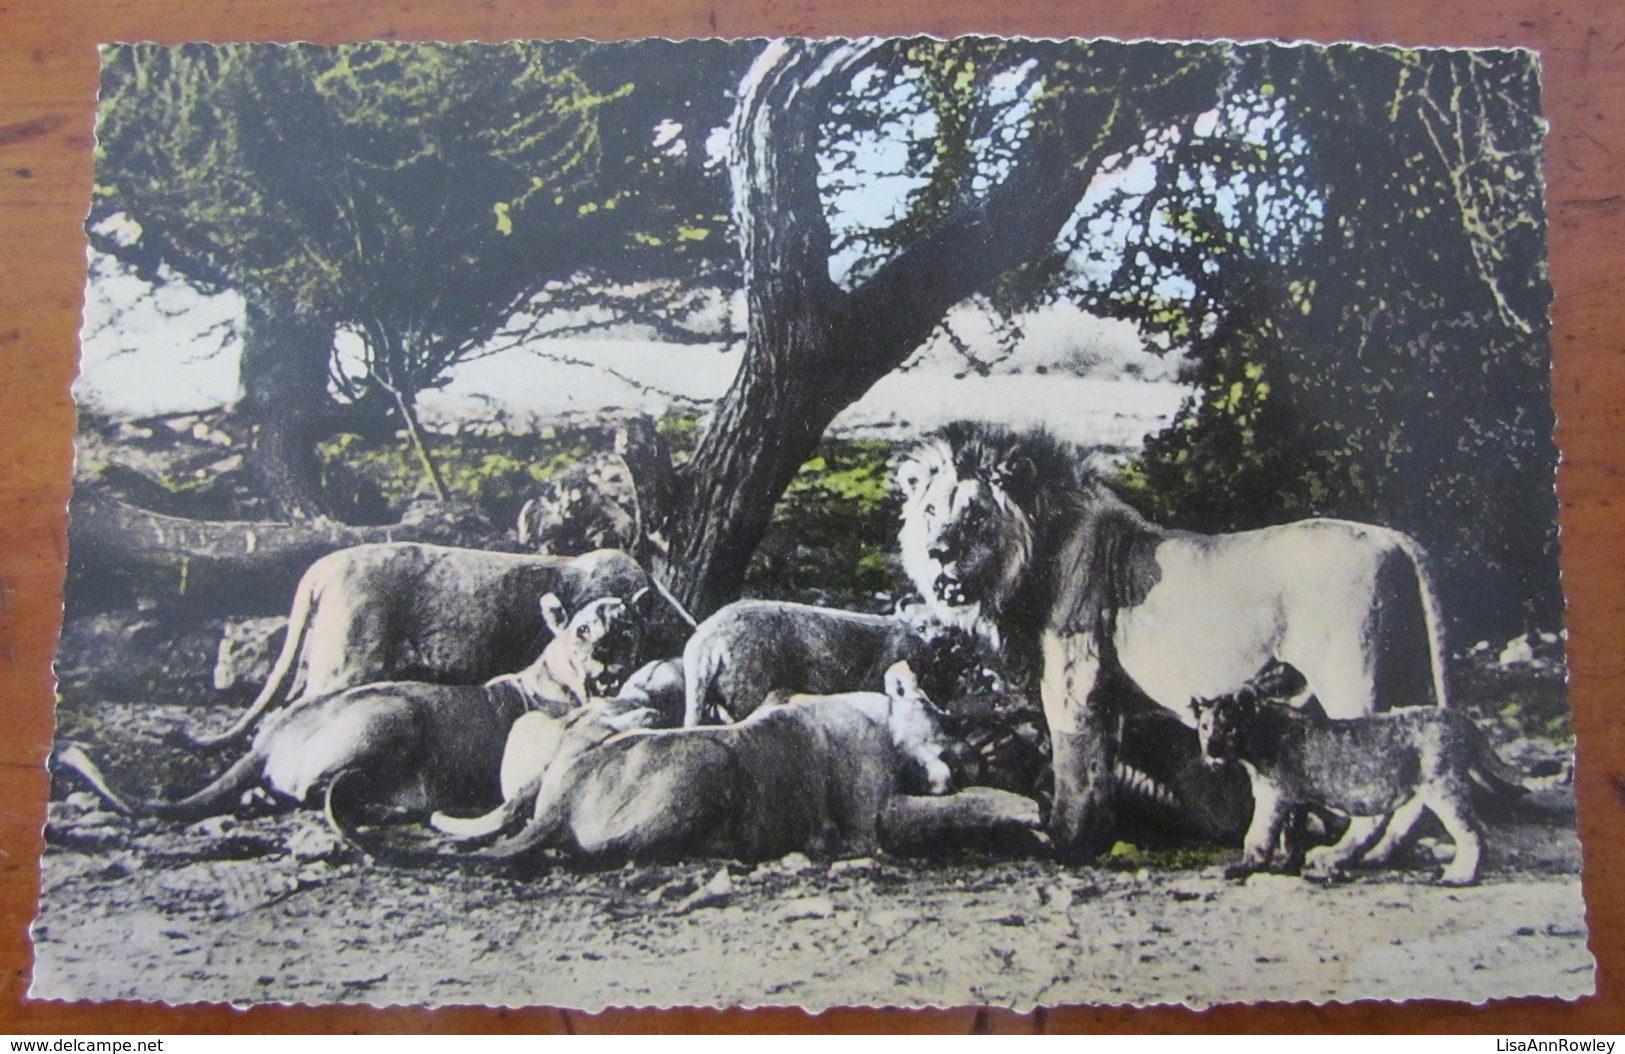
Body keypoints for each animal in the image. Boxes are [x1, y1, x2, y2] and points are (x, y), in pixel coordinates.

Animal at [903, 422, 1449, 863]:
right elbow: (1100, 766)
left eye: (975, 515)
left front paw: (1062, 840)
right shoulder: (1108, 693)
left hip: (1351, 681)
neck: (1032, 557)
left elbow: (1072, 762)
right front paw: (1096, 837)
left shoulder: (1074, 681)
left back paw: (1339, 856)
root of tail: (1399, 542)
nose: (938, 551)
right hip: (1405, 679)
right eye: (930, 510)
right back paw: (1376, 857)